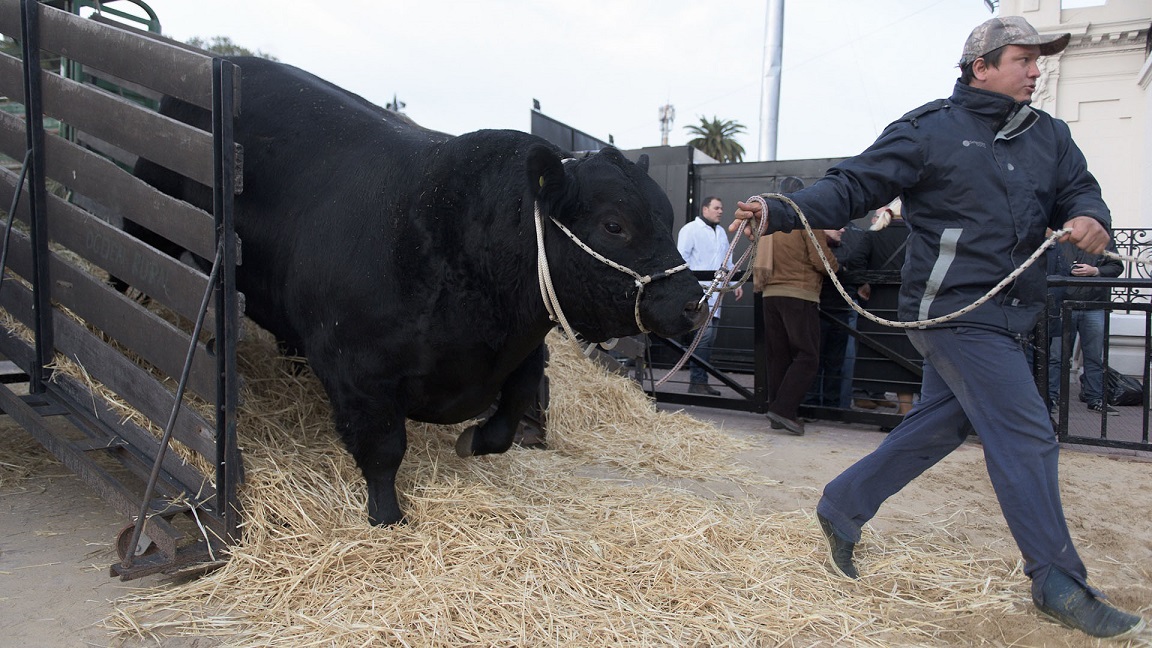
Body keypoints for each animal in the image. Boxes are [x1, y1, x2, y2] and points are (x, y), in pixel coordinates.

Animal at [127, 56, 700, 525]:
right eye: (614, 225)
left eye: (668, 216)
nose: (691, 302)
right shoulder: (358, 369)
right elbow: (383, 450)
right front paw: (387, 517)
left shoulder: (524, 353)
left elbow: (507, 421)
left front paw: (471, 441)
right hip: (149, 215)